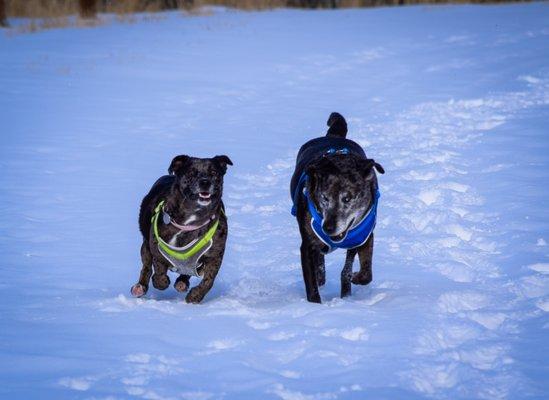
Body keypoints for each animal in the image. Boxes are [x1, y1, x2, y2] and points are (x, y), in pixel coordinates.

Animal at [288, 112, 384, 304]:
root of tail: (333, 136)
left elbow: (364, 271)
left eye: (347, 198)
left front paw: (354, 278)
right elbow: (311, 281)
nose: (328, 228)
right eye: (324, 197)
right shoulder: (307, 244)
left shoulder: (364, 235)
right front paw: (315, 304)